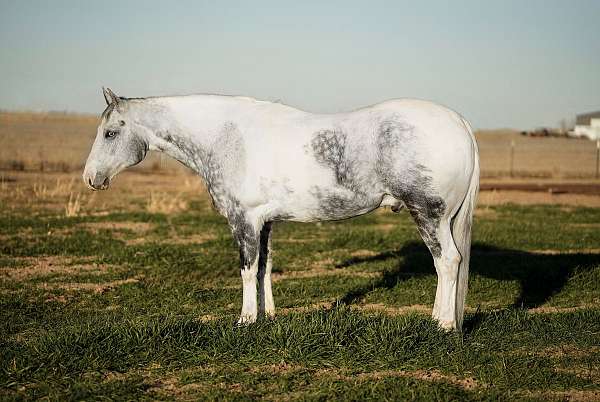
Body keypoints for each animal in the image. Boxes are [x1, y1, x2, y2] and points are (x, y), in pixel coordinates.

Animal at [83, 87, 478, 330]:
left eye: (110, 133)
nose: (90, 178)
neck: (227, 136)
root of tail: (459, 122)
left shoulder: (243, 219)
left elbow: (246, 269)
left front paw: (245, 320)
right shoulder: (265, 221)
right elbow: (264, 268)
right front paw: (267, 315)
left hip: (429, 214)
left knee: (448, 261)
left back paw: (443, 325)